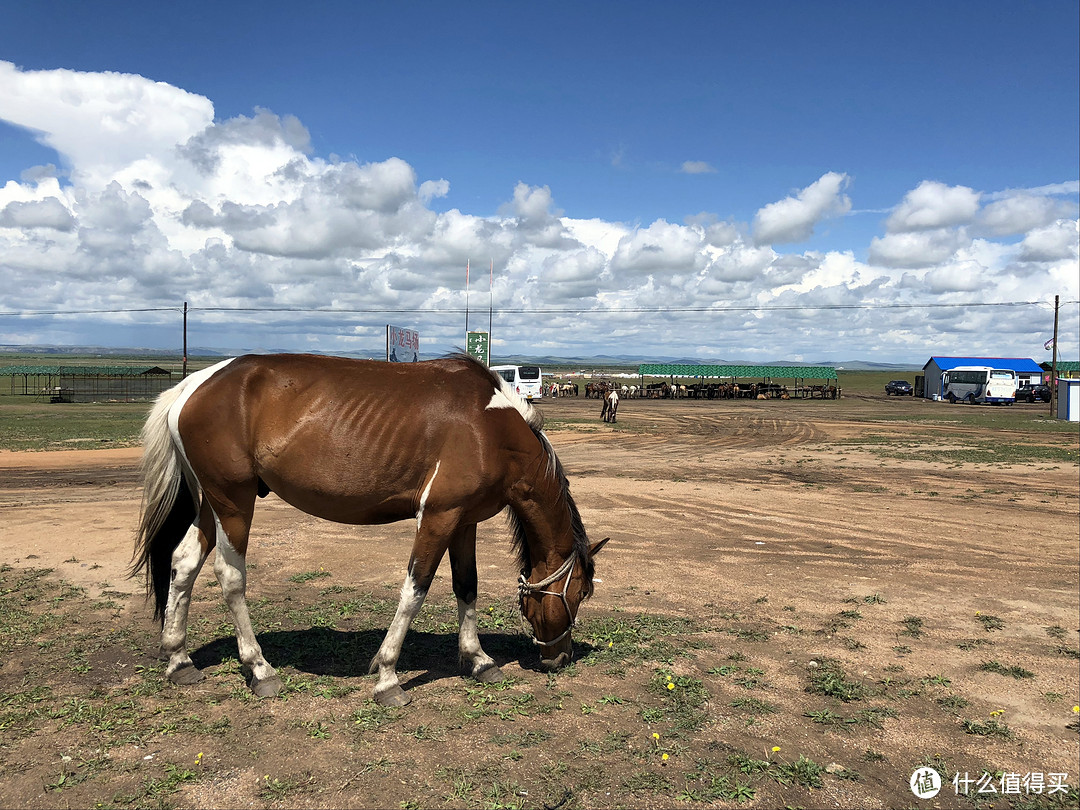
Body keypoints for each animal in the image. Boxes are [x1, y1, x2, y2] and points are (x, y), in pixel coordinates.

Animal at [130, 354, 609, 704]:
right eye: (579, 593)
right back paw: (259, 669)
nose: (560, 658)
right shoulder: (438, 516)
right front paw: (388, 676)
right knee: (230, 577)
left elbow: (467, 586)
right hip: (233, 502)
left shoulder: (464, 521)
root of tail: (192, 385)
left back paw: (179, 660)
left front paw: (477, 659)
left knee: (183, 563)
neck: (489, 428)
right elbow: (415, 591)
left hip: (210, 504)